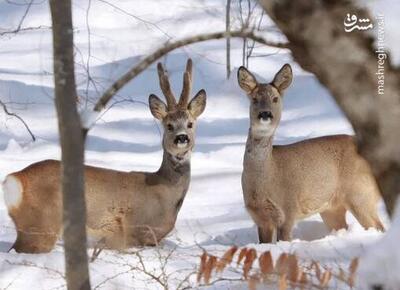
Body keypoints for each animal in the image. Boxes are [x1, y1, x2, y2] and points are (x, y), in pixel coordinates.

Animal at [0, 58, 206, 251]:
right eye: (169, 125)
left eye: (190, 124)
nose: (182, 138)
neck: (166, 192)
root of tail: (14, 179)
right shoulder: (139, 233)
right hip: (41, 225)